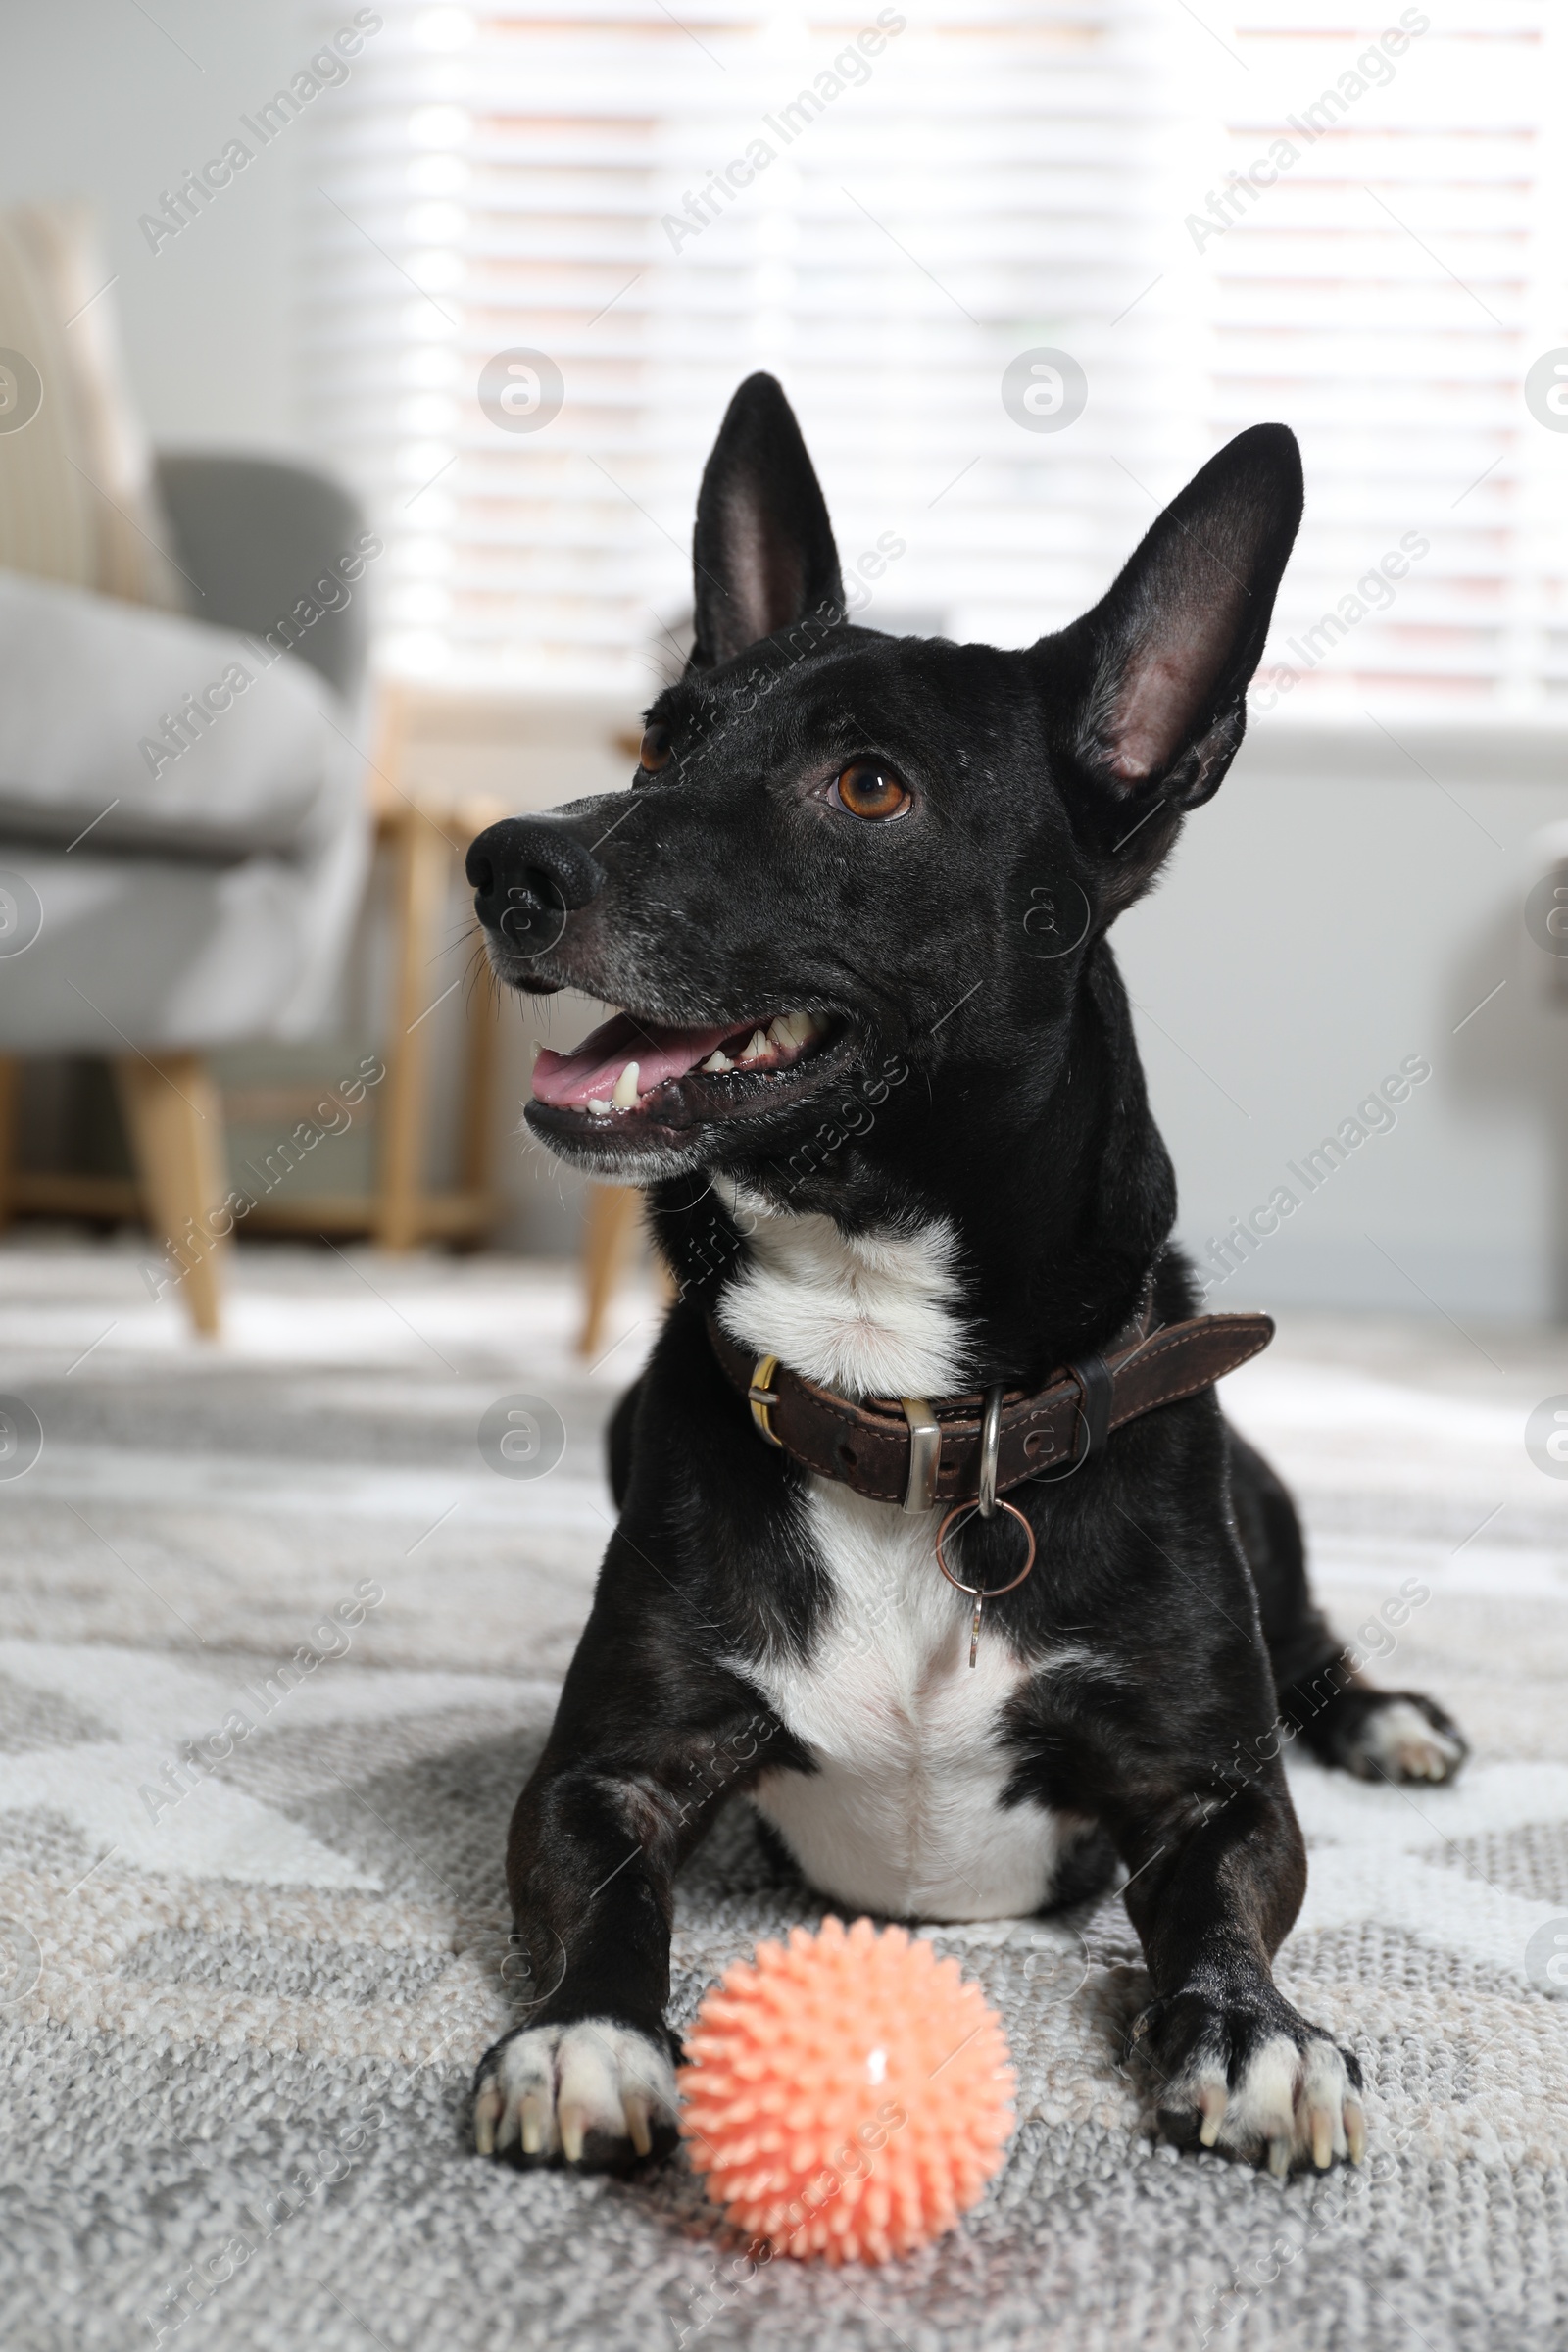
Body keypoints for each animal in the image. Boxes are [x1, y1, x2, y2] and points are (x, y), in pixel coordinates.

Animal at [461, 371, 1466, 2182]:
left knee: (1317, 1649)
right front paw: (588, 2034)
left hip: (1269, 1525)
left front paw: (1260, 2034)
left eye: (869, 788)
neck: (914, 1410)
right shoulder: (602, 1774)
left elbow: (1232, 1895)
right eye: (661, 734)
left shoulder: (1212, 1792)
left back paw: (1390, 1718)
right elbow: (612, 1887)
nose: (509, 864)